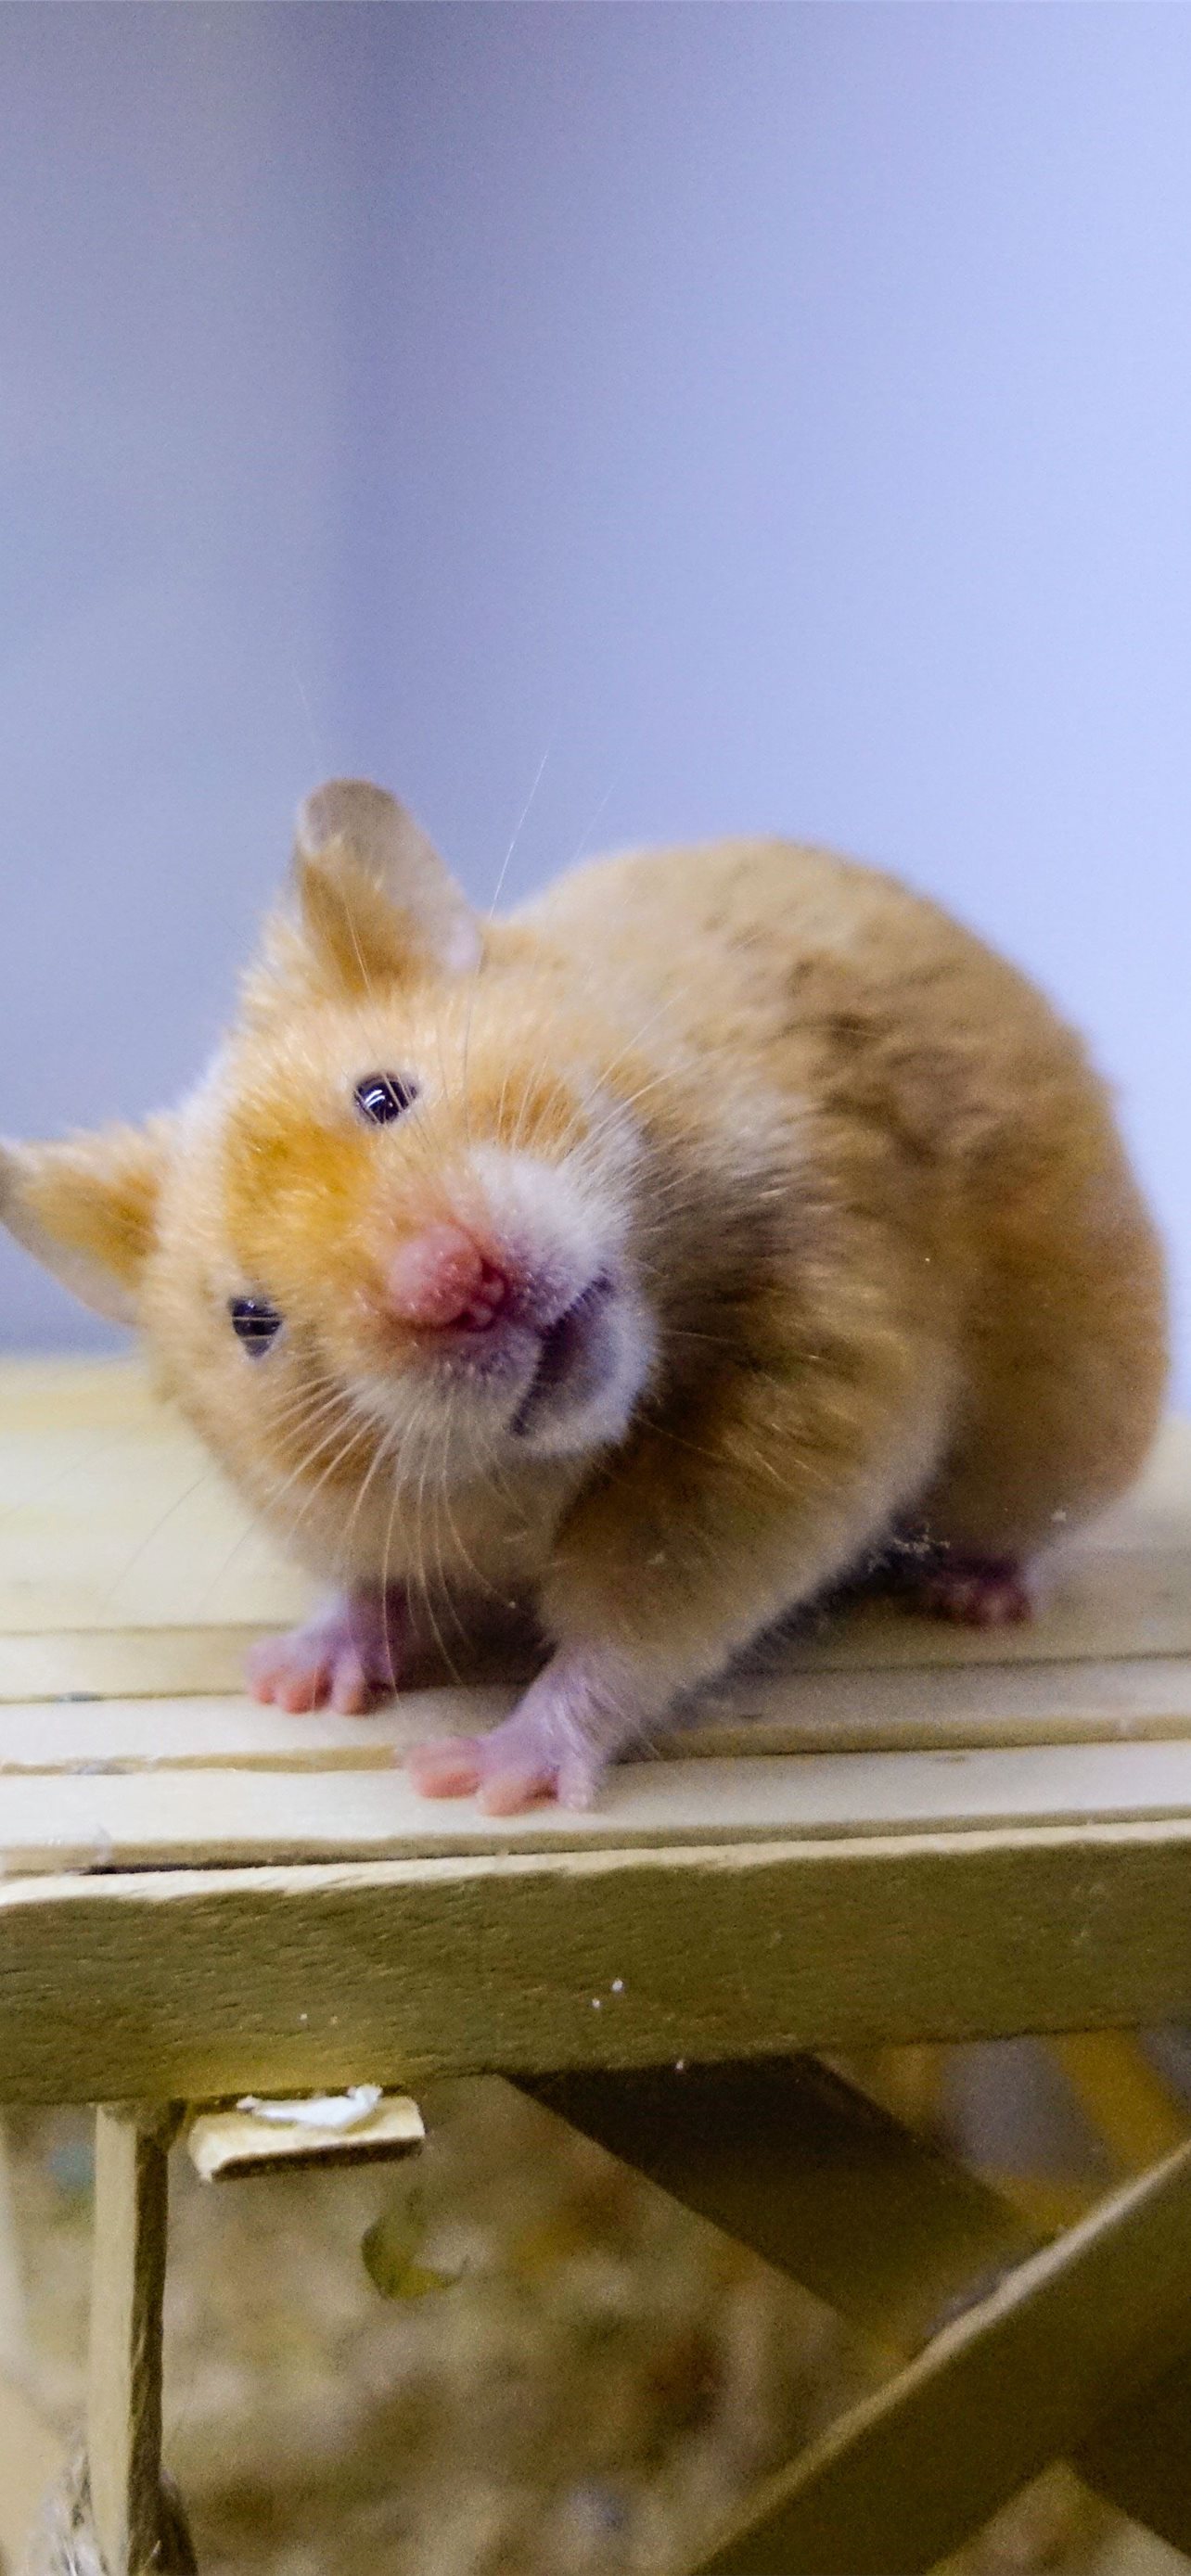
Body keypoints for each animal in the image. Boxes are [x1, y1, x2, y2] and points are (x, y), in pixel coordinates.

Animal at [1, 779, 1167, 1812]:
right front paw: (291, 1680)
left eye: (384, 1095)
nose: (458, 1285)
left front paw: (476, 1775)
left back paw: (976, 1595)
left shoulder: (807, 1391)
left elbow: (628, 1635)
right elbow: (371, 1588)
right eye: (252, 1324)